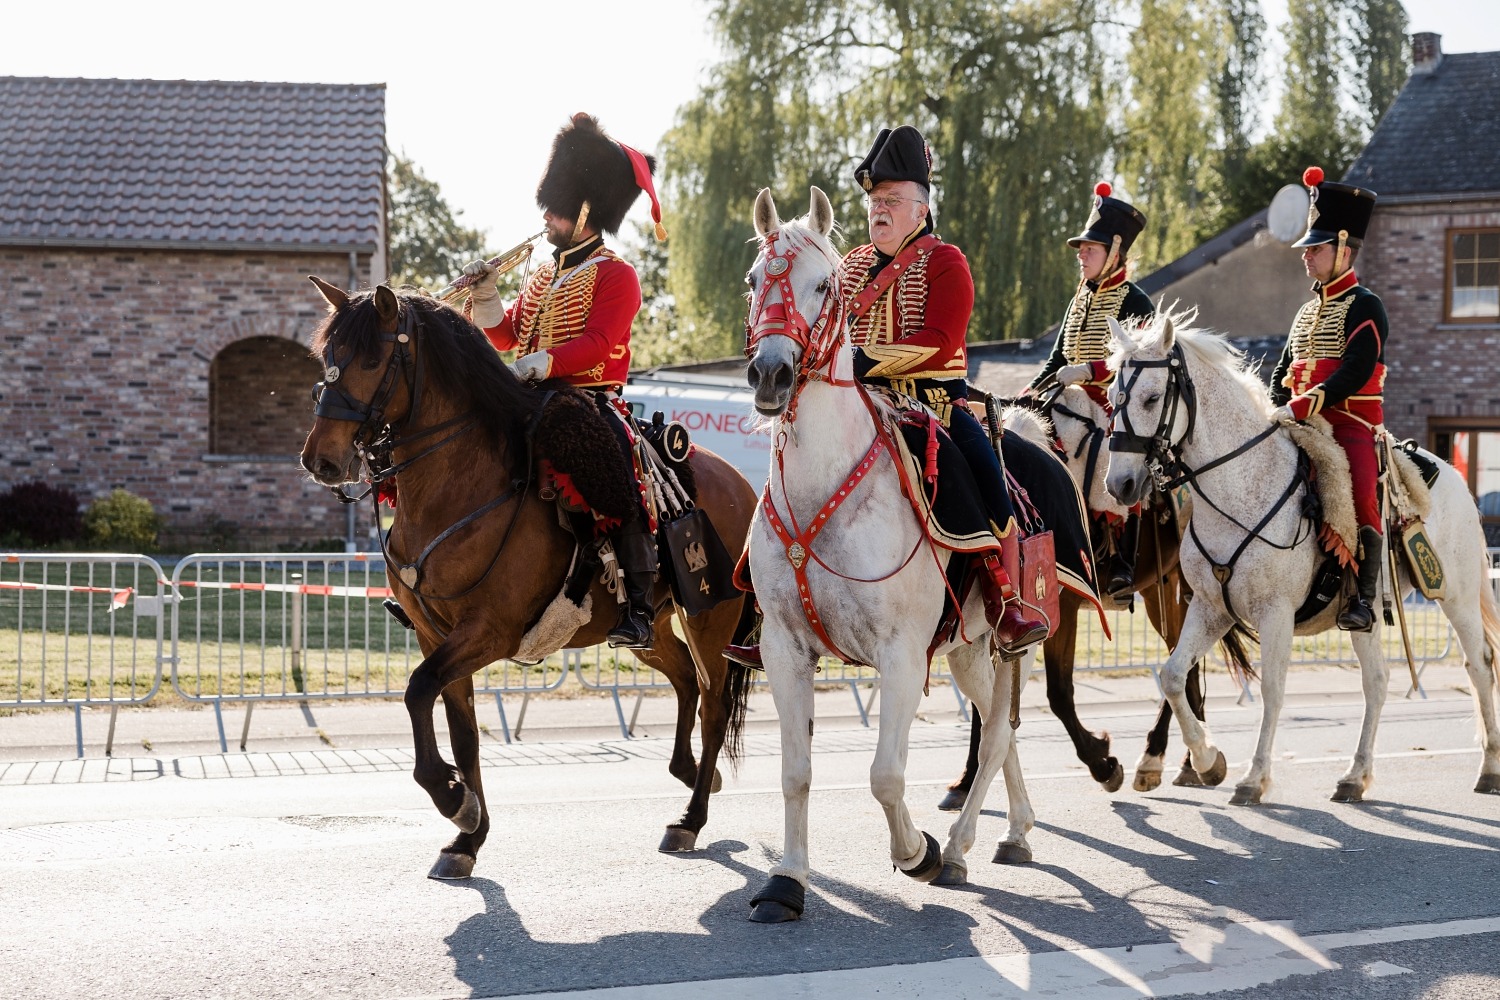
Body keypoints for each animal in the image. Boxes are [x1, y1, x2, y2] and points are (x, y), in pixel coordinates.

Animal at [298, 281, 756, 875]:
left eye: (373, 359)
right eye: (328, 357)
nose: (321, 460)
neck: (459, 487)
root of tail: (740, 481)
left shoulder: (490, 632)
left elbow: (418, 691)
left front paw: (451, 798)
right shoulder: (435, 636)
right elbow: (462, 733)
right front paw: (467, 835)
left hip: (709, 618)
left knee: (713, 702)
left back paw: (690, 818)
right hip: (652, 628)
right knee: (684, 681)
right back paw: (691, 771)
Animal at [741, 187, 1044, 923]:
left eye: (823, 285)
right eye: (755, 281)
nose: (770, 373)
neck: (823, 484)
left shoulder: (901, 653)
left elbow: (885, 775)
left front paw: (917, 853)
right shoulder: (784, 650)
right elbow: (796, 773)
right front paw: (787, 880)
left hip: (1009, 642)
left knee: (997, 733)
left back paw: (958, 847)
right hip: (969, 649)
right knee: (1001, 730)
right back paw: (1015, 831)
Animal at [1104, 313, 1500, 803]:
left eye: (1152, 397)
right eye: (1110, 399)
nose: (1119, 484)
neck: (1240, 486)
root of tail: (1450, 474)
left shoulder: (1275, 613)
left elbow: (1272, 690)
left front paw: (1253, 777)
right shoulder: (1211, 608)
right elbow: (1174, 675)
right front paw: (1208, 760)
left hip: (1456, 597)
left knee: (1479, 664)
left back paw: (1488, 768)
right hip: (1366, 613)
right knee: (1377, 682)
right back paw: (1355, 776)